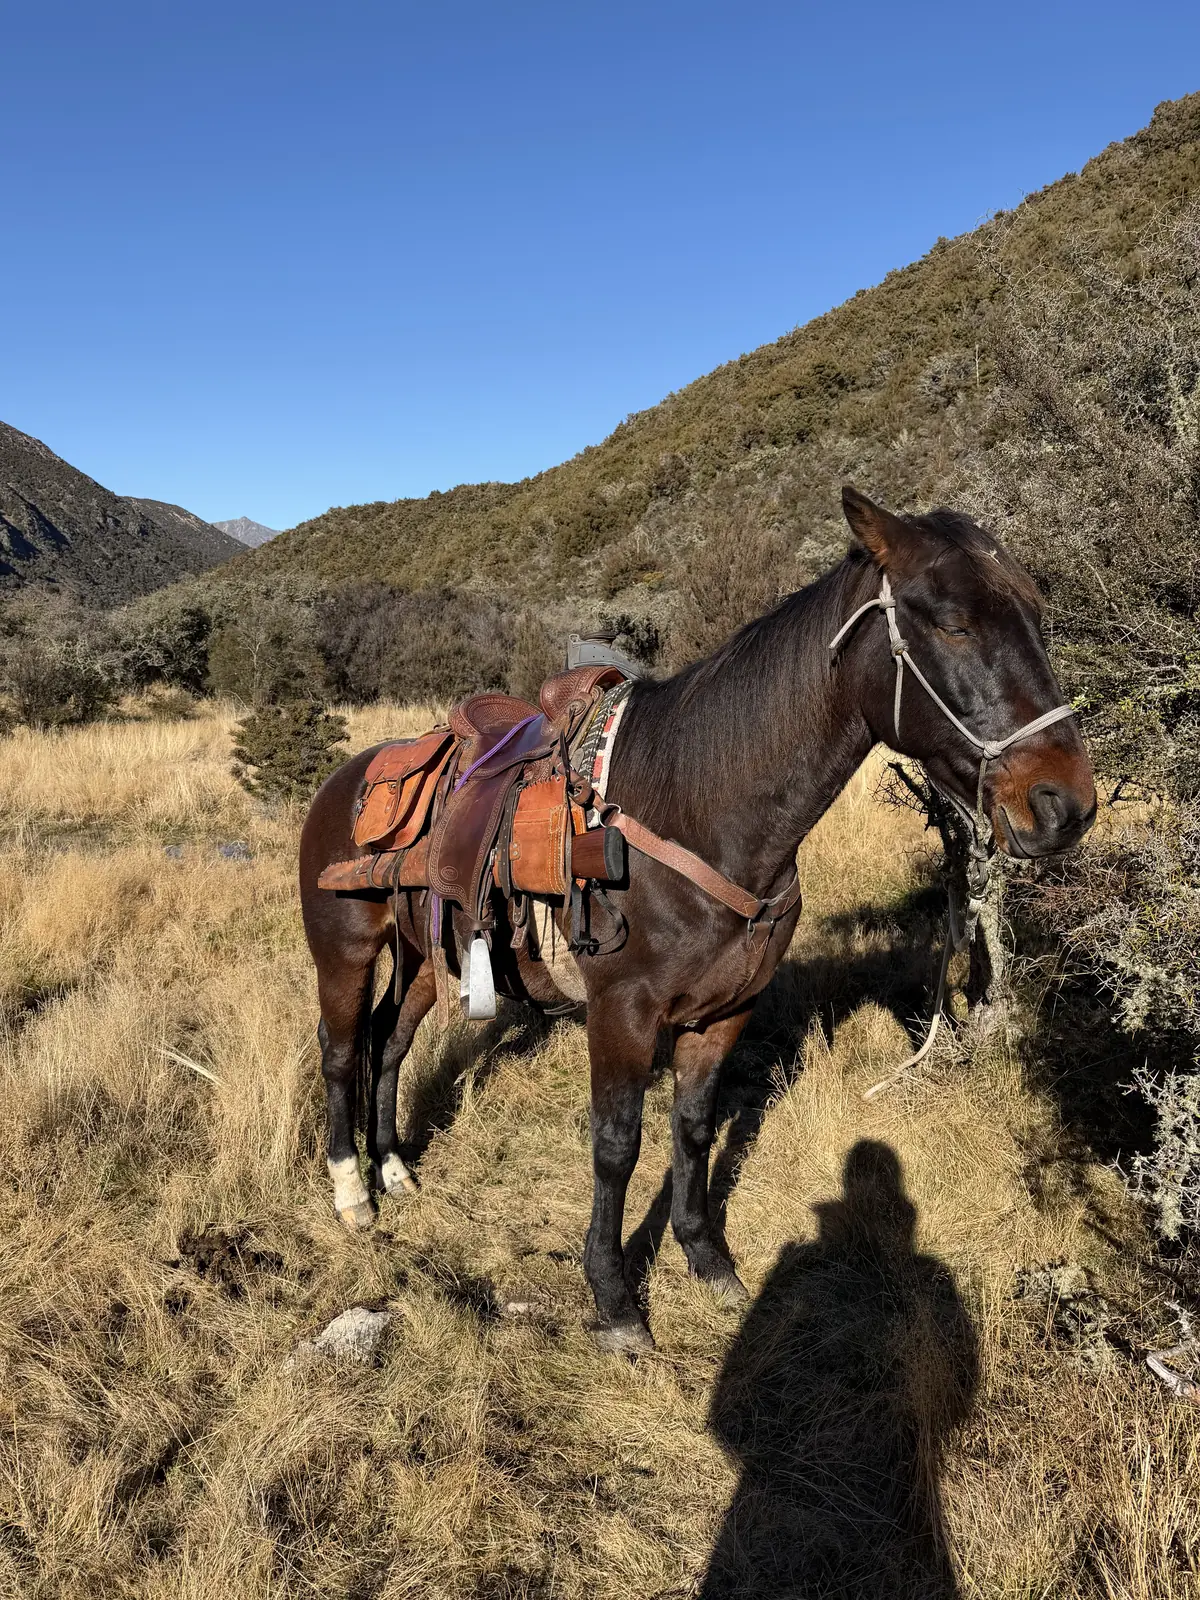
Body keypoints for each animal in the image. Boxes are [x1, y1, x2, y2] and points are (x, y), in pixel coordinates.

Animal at [299, 487, 1096, 1352]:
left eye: (1037, 611)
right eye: (952, 623)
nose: (1065, 805)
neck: (698, 809)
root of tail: (344, 779)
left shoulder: (723, 1013)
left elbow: (693, 1128)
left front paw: (705, 1259)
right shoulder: (620, 1014)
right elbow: (617, 1148)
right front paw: (615, 1299)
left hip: (423, 956)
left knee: (390, 1041)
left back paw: (393, 1168)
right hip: (345, 952)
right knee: (341, 1050)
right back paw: (352, 1192)